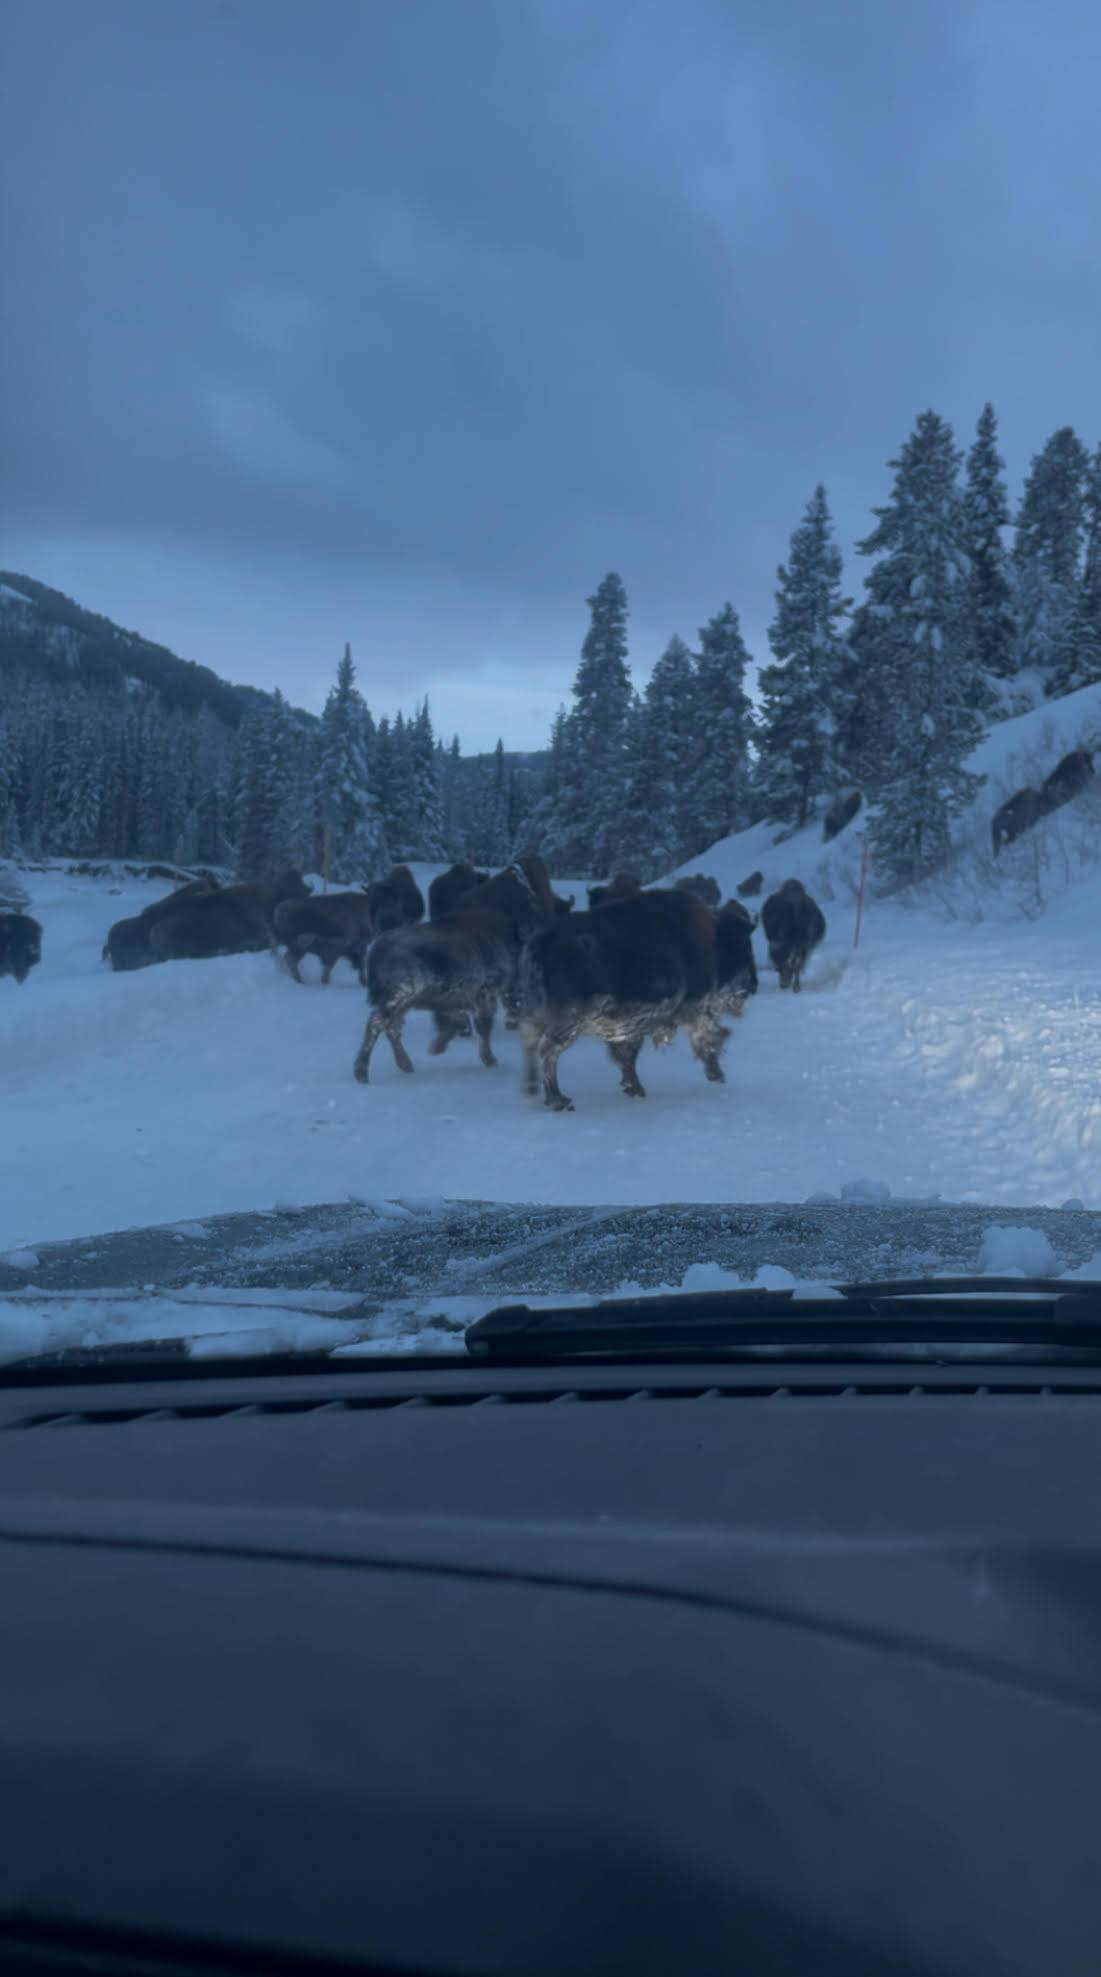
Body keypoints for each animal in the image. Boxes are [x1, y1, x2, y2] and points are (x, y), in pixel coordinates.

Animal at [353, 861, 557, 1083]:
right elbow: (483, 1025)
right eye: (529, 896)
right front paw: (489, 1059)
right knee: (377, 1023)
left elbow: (459, 1019)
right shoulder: (484, 993)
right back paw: (362, 1072)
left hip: (403, 1003)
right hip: (399, 997)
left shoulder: (453, 999)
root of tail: (378, 949)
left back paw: (404, 1064)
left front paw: (439, 1046)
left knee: (391, 1027)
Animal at [513, 893, 755, 1115]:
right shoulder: (691, 1009)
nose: (751, 986)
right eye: (744, 946)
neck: (713, 938)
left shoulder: (632, 1024)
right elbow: (709, 1036)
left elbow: (627, 1055)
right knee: (547, 1050)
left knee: (530, 1043)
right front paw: (716, 1073)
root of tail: (544, 939)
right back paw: (559, 1100)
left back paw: (531, 1089)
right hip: (570, 1021)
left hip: (536, 1013)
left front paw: (634, 1088)